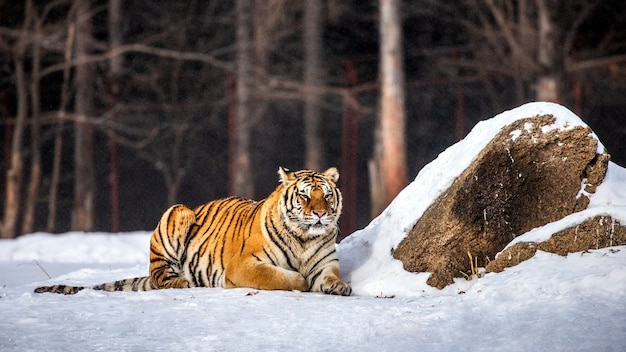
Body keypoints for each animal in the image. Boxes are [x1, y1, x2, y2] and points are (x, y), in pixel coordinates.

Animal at [34, 168, 352, 296]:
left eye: (326, 195)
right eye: (304, 196)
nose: (320, 214)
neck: (304, 239)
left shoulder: (325, 263)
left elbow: (329, 277)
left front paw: (340, 287)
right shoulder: (245, 265)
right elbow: (283, 277)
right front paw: (300, 280)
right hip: (177, 213)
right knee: (160, 277)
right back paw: (183, 282)